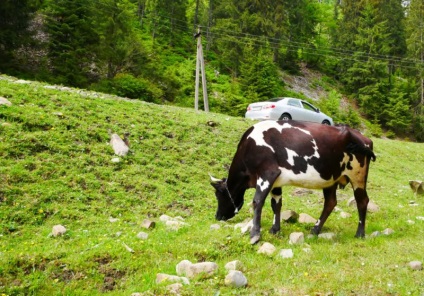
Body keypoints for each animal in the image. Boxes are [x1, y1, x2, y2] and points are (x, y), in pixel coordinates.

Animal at [210, 119, 376, 244]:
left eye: (218, 195)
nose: (217, 216)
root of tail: (364, 137)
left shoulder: (267, 173)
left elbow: (257, 201)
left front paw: (255, 234)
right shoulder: (276, 181)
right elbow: (276, 204)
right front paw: (274, 229)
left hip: (358, 175)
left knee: (362, 201)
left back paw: (359, 234)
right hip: (330, 178)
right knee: (330, 203)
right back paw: (314, 230)